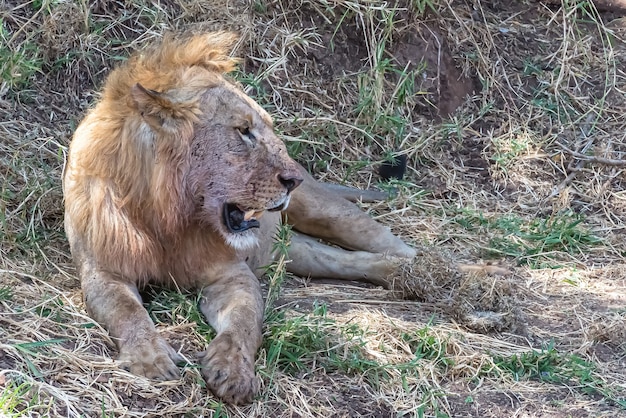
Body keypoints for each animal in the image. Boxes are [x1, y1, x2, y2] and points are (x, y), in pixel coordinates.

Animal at [62, 32, 414, 404]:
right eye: (243, 130)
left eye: (268, 129)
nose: (294, 180)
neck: (167, 218)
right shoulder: (103, 272)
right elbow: (127, 312)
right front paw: (151, 359)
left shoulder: (231, 273)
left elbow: (244, 324)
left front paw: (234, 371)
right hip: (291, 252)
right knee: (351, 261)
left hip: (324, 212)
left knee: (382, 238)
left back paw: (431, 271)